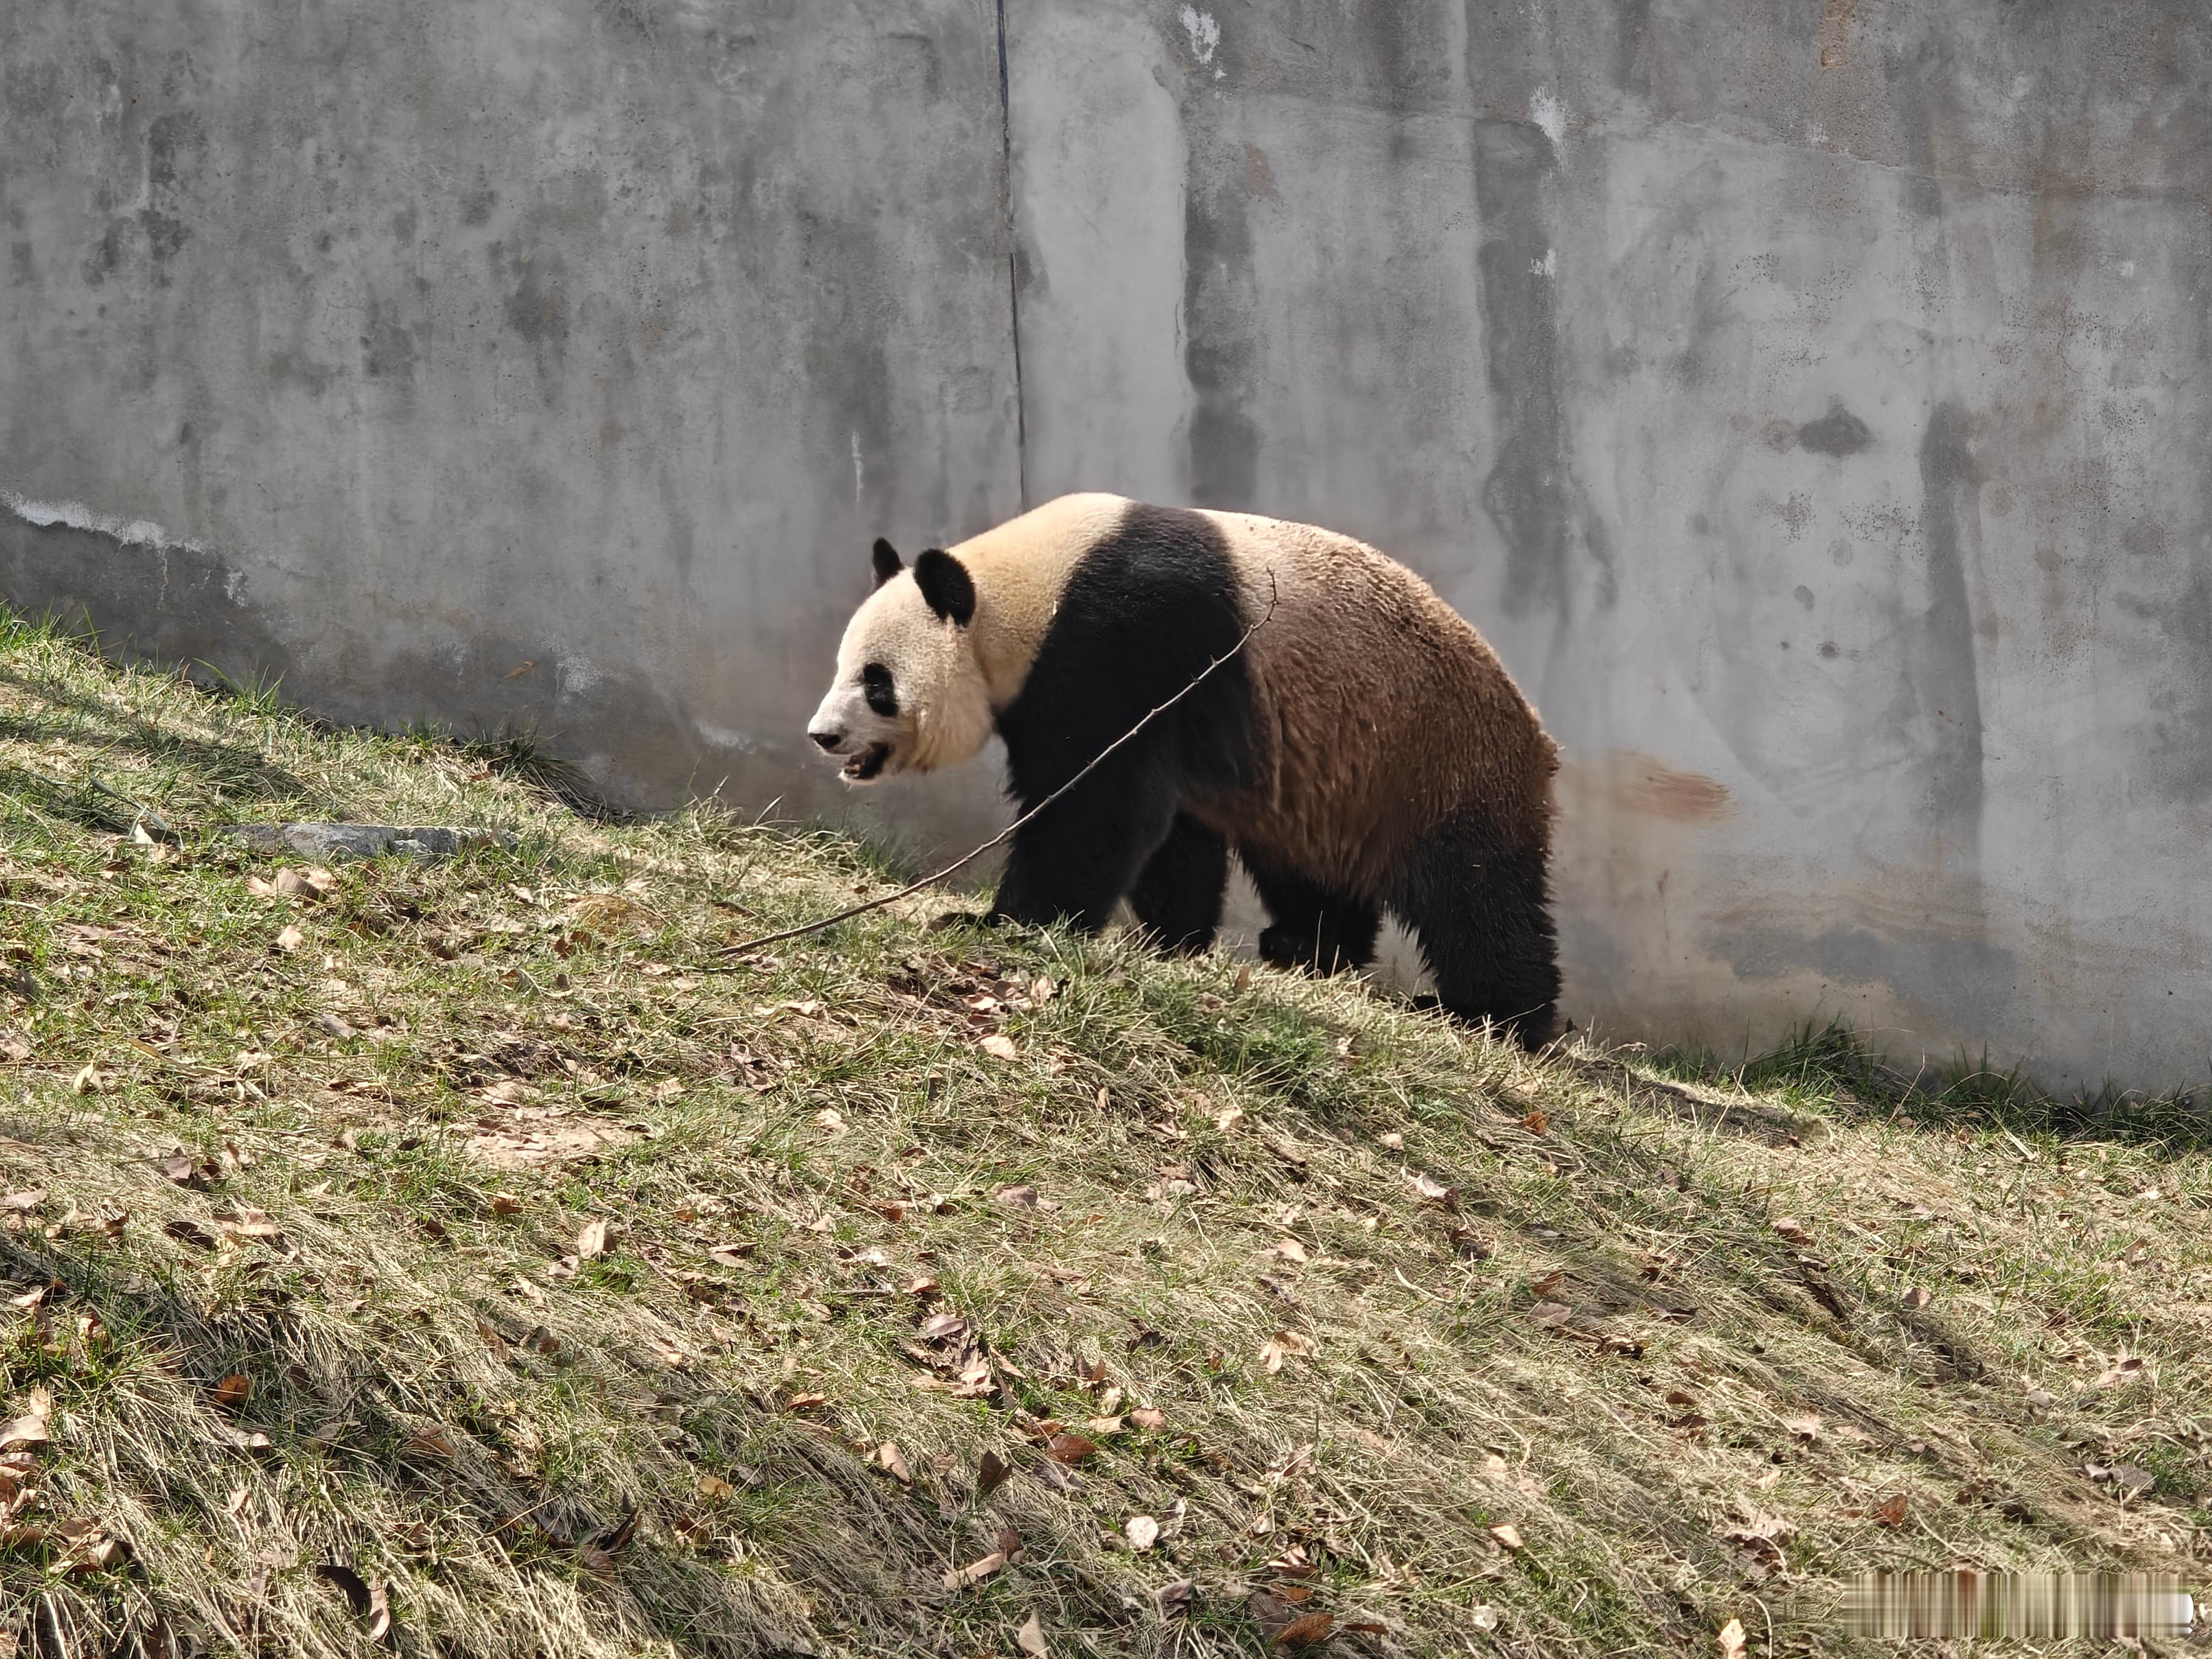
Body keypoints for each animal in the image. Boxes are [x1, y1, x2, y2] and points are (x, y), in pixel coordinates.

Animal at [810, 487, 1557, 1053]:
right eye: (843, 667)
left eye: (876, 682)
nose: (823, 736)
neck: (1022, 594)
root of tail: (1536, 732)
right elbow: (1169, 828)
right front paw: (1175, 940)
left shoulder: (1117, 640)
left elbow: (1096, 806)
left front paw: (1003, 922)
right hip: (1326, 773)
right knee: (1308, 866)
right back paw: (1306, 948)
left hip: (1435, 762)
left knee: (1475, 896)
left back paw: (1493, 1018)